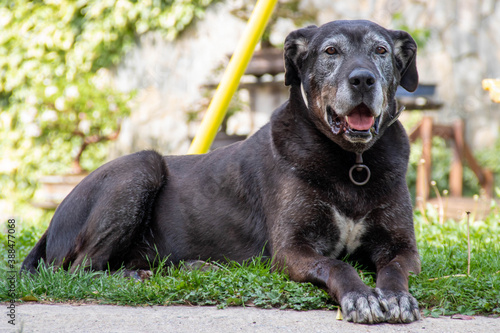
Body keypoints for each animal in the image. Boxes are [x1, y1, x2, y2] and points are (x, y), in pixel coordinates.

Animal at [23, 20, 422, 322]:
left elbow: (394, 269)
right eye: (331, 52)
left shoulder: (403, 247)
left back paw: (193, 268)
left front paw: (395, 297)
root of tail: (50, 224)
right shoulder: (293, 250)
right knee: (81, 270)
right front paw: (362, 296)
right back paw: (136, 275)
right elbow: (338, 266)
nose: (363, 79)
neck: (352, 162)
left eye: (381, 51)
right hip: (140, 167)